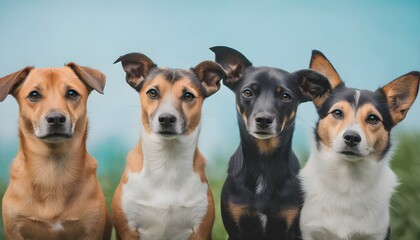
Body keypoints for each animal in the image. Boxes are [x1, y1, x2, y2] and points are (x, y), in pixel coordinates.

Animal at [0, 62, 111, 239]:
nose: (56, 119)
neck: (52, 169)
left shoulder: (91, 229)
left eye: (72, 93)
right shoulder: (15, 229)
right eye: (34, 95)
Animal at [210, 46, 332, 239]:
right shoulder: (237, 228)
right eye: (247, 92)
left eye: (285, 96)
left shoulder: (292, 226)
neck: (264, 162)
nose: (263, 120)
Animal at [300, 49, 418, 239]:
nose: (352, 137)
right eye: (337, 113)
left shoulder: (377, 233)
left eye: (373, 118)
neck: (348, 181)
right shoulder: (309, 230)